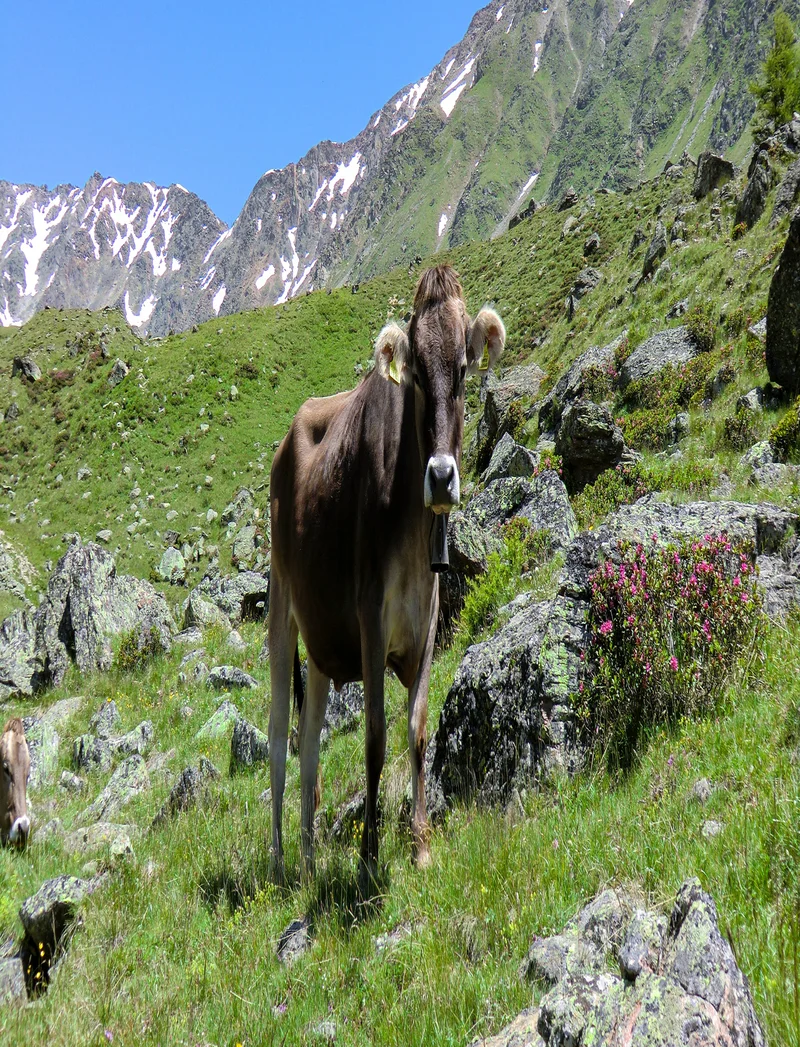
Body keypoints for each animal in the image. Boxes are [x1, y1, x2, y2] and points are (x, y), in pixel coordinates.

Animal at [268, 265, 505, 890]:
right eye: (416, 374)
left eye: (464, 369)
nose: (442, 477)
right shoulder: (371, 621)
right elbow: (374, 737)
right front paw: (369, 856)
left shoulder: (425, 625)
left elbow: (417, 730)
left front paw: (420, 843)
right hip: (280, 606)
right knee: (278, 741)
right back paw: (276, 865)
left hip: (320, 640)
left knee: (309, 751)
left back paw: (308, 865)